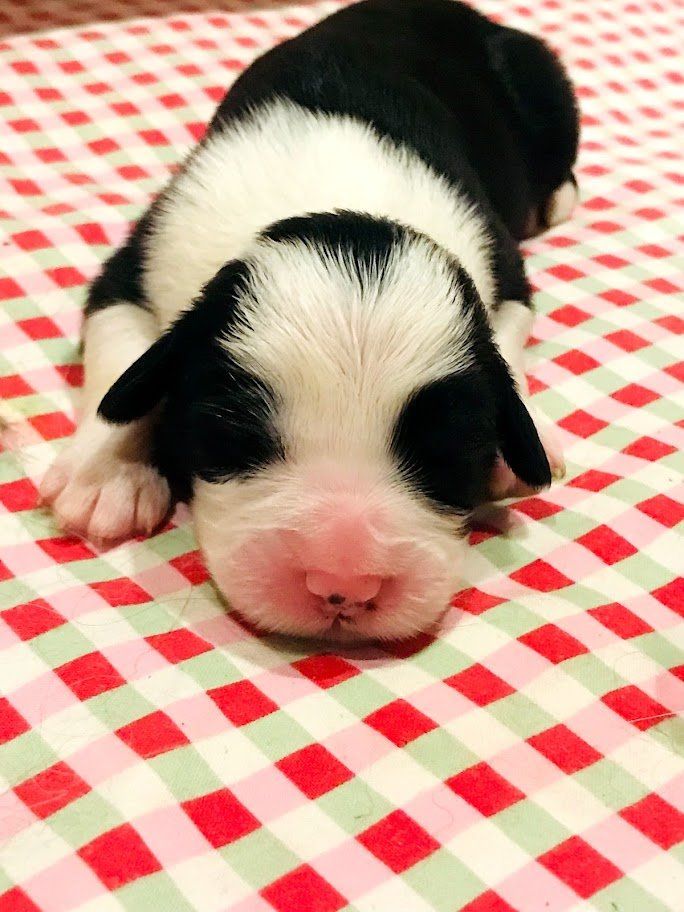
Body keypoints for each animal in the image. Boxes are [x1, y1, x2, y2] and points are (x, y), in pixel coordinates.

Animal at [40, 0, 579, 641]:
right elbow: (123, 358)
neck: (341, 197)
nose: (342, 585)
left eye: (447, 454)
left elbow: (510, 343)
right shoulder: (140, 259)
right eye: (233, 433)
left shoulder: (507, 270)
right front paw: (107, 475)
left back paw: (558, 201)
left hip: (543, 81)